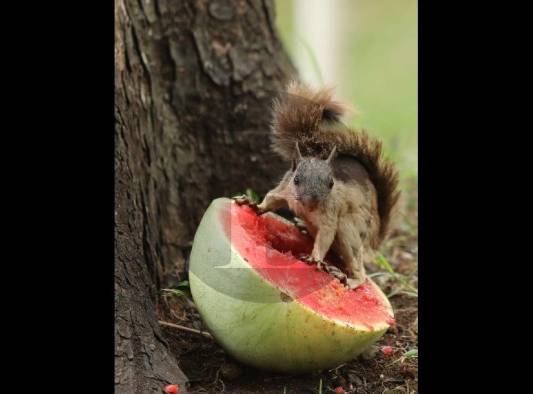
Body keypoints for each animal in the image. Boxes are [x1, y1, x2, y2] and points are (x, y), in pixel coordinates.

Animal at [234, 81, 400, 288]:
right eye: (297, 179)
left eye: (331, 183)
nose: (312, 203)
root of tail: (375, 236)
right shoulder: (284, 188)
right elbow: (270, 199)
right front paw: (253, 205)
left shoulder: (330, 213)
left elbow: (326, 235)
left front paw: (315, 258)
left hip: (350, 228)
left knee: (358, 267)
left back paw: (349, 279)